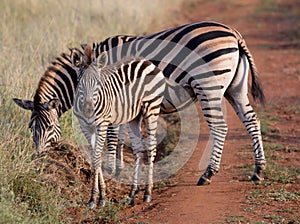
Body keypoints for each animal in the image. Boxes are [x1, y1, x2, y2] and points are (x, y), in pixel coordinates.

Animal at [72, 44, 168, 208]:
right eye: (79, 84)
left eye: (98, 84)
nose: (89, 111)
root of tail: (146, 61)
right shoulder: (85, 127)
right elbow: (94, 157)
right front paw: (99, 196)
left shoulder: (102, 124)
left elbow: (97, 157)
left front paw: (96, 198)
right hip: (135, 116)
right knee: (138, 149)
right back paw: (132, 193)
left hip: (152, 107)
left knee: (151, 146)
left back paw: (147, 192)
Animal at [92, 20, 266, 186]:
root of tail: (234, 33)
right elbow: (121, 136)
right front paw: (118, 169)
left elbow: (112, 136)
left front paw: (110, 170)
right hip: (236, 89)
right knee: (252, 120)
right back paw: (258, 170)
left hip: (208, 86)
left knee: (220, 128)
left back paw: (208, 173)